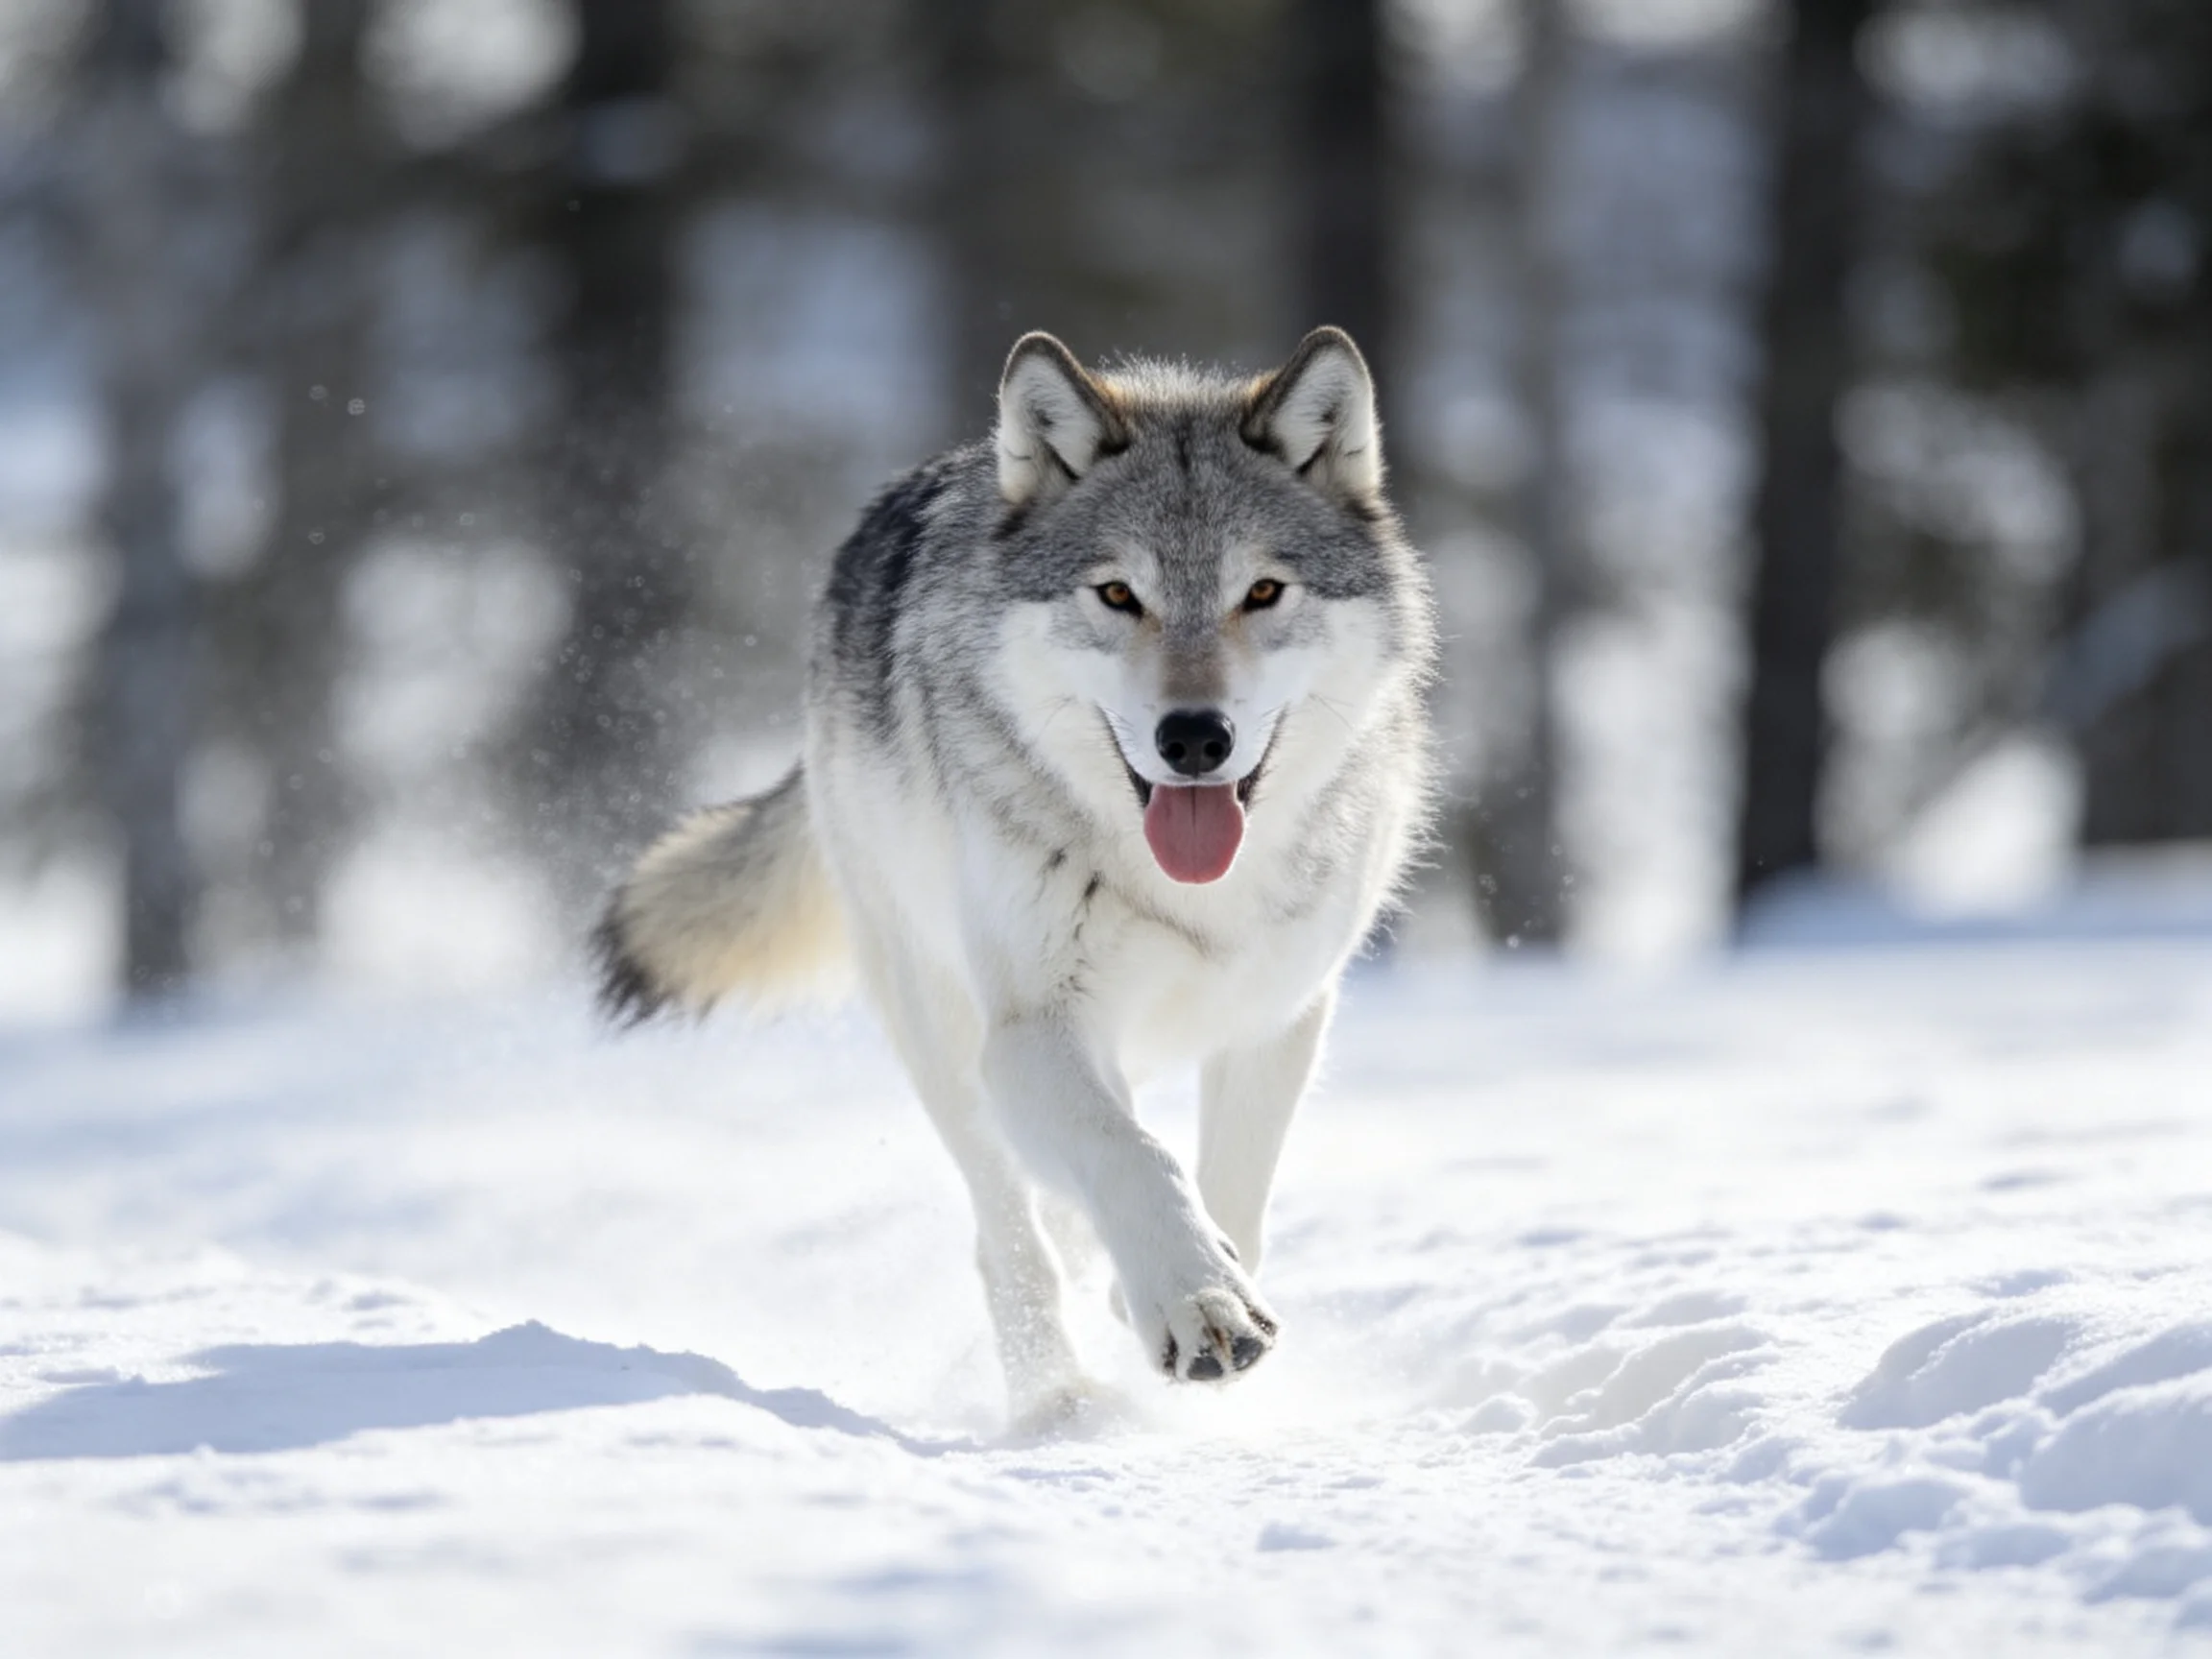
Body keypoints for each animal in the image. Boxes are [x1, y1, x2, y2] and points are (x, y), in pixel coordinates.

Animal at [597, 327, 1435, 1420]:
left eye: (1261, 592)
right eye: (1118, 595)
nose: (1195, 738)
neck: (1189, 892)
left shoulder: (1279, 1016)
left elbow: (1232, 1190)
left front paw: (1193, 1283)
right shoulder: (1031, 1030)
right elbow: (1134, 1155)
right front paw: (1193, 1301)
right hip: (941, 1034)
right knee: (1008, 1239)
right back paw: (1057, 1403)